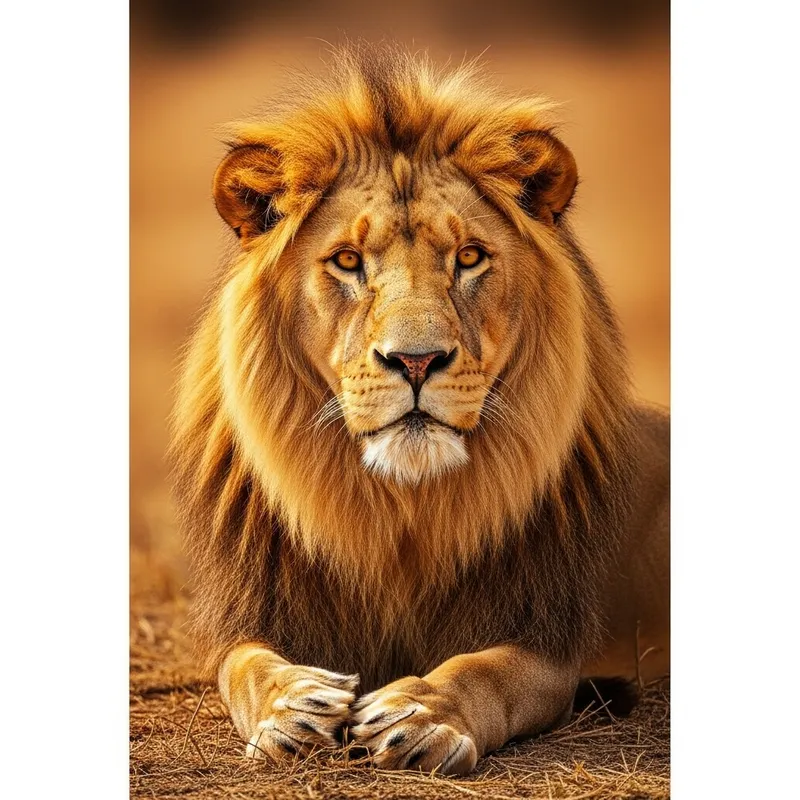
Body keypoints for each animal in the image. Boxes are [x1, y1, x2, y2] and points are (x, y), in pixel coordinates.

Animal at [170, 43, 669, 776]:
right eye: (348, 260)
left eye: (469, 257)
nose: (415, 361)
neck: (402, 509)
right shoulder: (253, 614)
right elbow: (244, 667)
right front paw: (293, 706)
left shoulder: (548, 634)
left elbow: (487, 671)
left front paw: (422, 714)